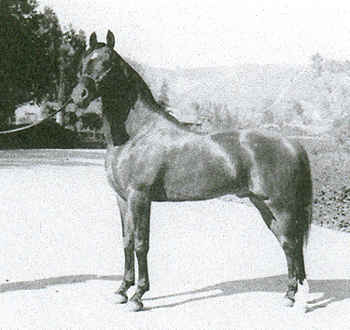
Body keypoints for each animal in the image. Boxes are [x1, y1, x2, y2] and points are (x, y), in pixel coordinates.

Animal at [71, 31, 312, 312]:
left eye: (107, 63)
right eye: (84, 61)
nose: (79, 95)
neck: (137, 134)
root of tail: (292, 143)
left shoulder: (140, 197)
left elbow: (141, 244)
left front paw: (138, 296)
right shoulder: (122, 199)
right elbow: (127, 241)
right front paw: (121, 290)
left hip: (281, 206)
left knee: (293, 243)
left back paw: (300, 298)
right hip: (264, 205)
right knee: (287, 245)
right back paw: (290, 294)